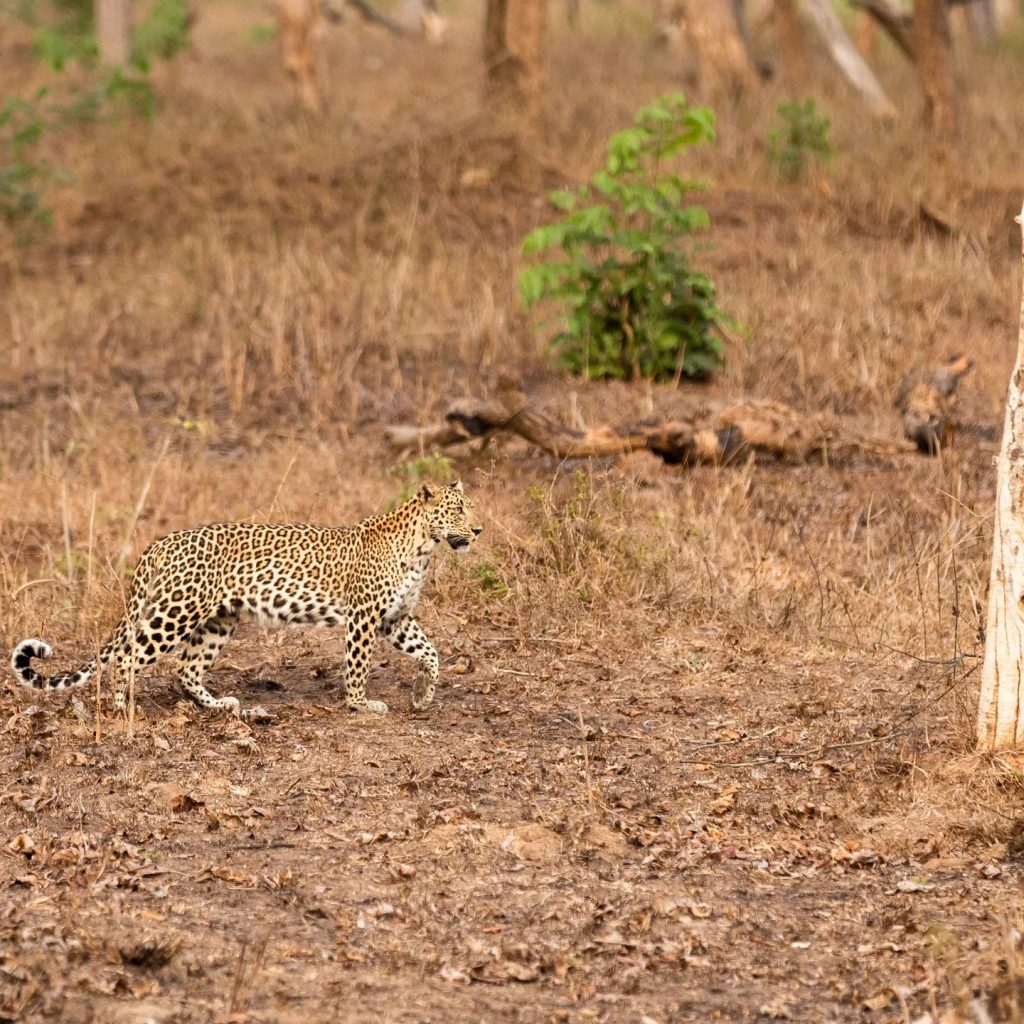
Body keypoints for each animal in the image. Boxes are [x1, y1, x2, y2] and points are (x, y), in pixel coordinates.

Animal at [11, 481, 483, 716]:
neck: (423, 548)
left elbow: (431, 654)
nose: (479, 530)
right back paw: (123, 709)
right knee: (128, 659)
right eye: (459, 510)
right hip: (176, 613)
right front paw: (360, 704)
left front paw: (422, 696)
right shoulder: (364, 617)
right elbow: (358, 665)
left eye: (472, 508)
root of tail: (160, 542)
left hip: (218, 621)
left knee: (186, 669)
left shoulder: (396, 618)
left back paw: (220, 705)